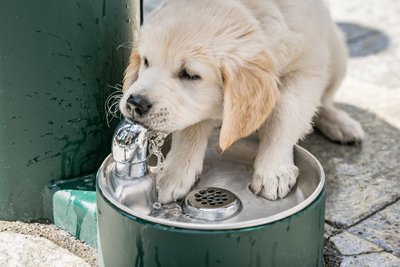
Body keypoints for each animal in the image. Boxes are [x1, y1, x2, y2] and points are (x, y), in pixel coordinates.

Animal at [119, 0, 362, 204]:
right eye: (146, 61)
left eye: (189, 74)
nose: (134, 103)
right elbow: (191, 125)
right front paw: (175, 173)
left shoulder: (307, 66)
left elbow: (285, 113)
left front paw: (274, 169)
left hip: (336, 54)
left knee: (324, 101)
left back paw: (340, 123)